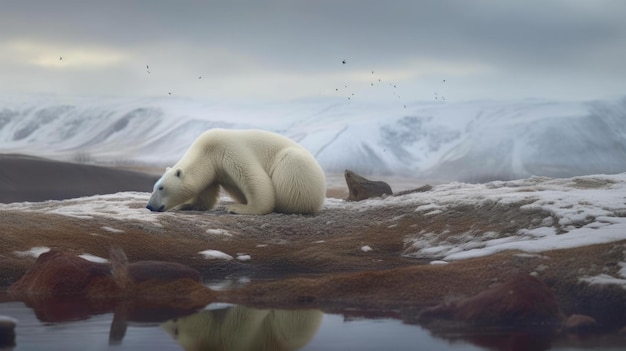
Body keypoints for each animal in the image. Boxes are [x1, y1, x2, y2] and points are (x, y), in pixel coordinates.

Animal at [144, 129, 324, 214]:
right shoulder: (213, 170)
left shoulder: (229, 149)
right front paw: (188, 205)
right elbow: (205, 192)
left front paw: (238, 209)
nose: (149, 206)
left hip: (296, 166)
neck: (207, 151)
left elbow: (254, 179)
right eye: (154, 187)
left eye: (161, 188)